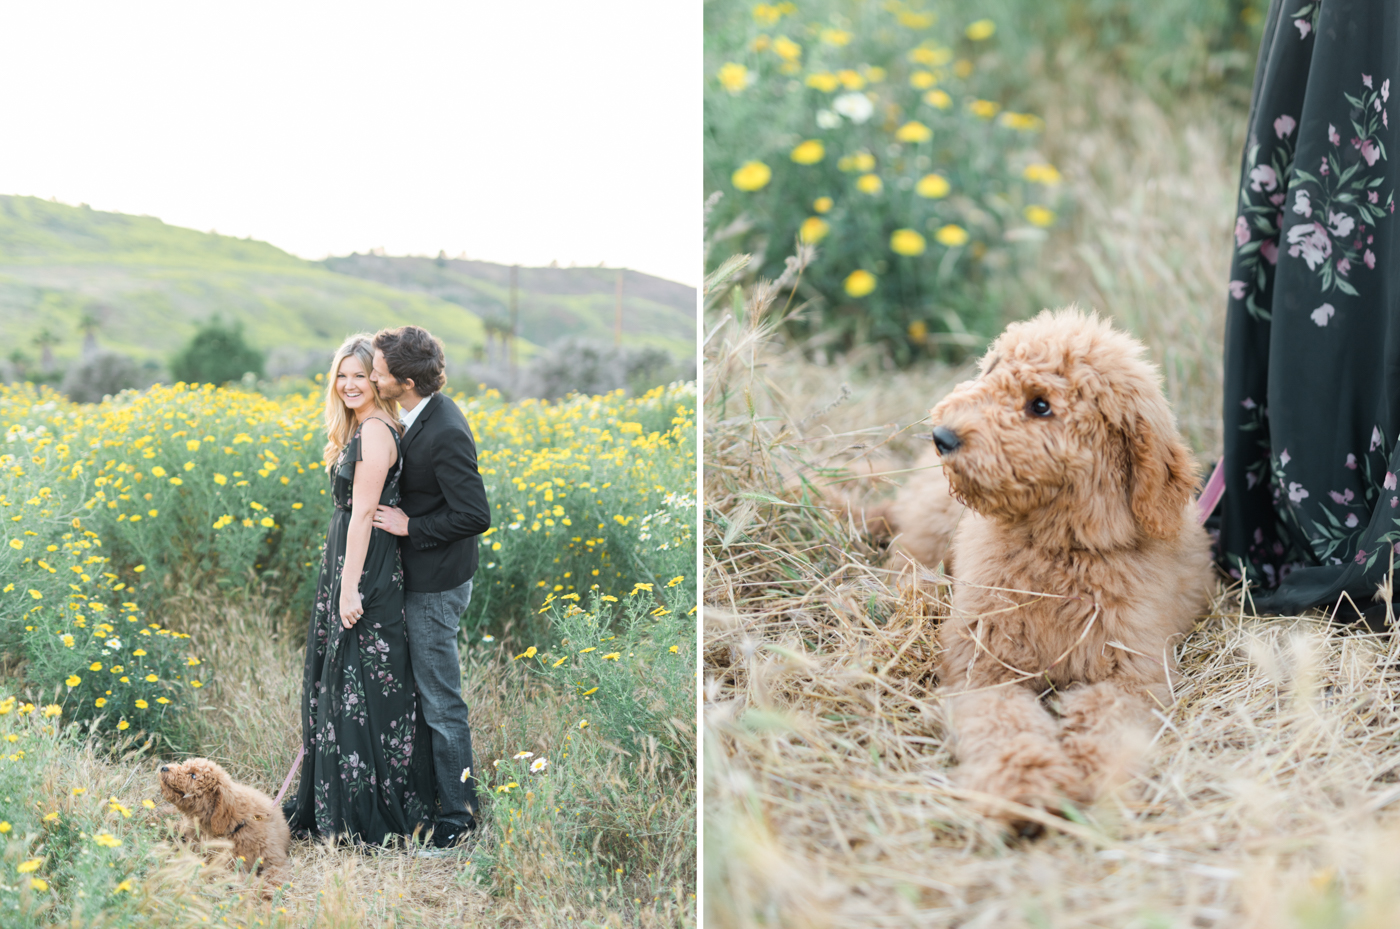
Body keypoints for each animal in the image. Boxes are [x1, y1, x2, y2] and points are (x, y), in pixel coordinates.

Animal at [907, 307, 1215, 822]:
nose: (942, 436)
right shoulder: (984, 667)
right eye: (991, 371)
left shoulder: (1133, 674)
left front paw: (1090, 776)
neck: (1059, 552)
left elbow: (1106, 722)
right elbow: (1004, 723)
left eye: (1041, 405)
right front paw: (1024, 784)